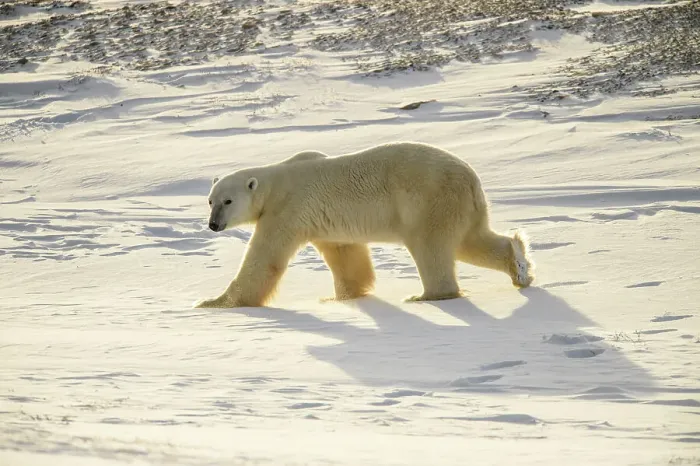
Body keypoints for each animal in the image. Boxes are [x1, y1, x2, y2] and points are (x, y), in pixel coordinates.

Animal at [195, 141, 534, 309]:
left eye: (228, 201)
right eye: (210, 201)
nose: (213, 225)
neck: (275, 184)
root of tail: (471, 178)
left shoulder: (287, 209)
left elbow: (264, 259)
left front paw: (215, 302)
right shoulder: (323, 220)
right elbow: (345, 253)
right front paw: (343, 296)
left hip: (429, 201)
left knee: (431, 247)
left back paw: (427, 295)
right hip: (462, 205)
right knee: (471, 241)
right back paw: (518, 266)